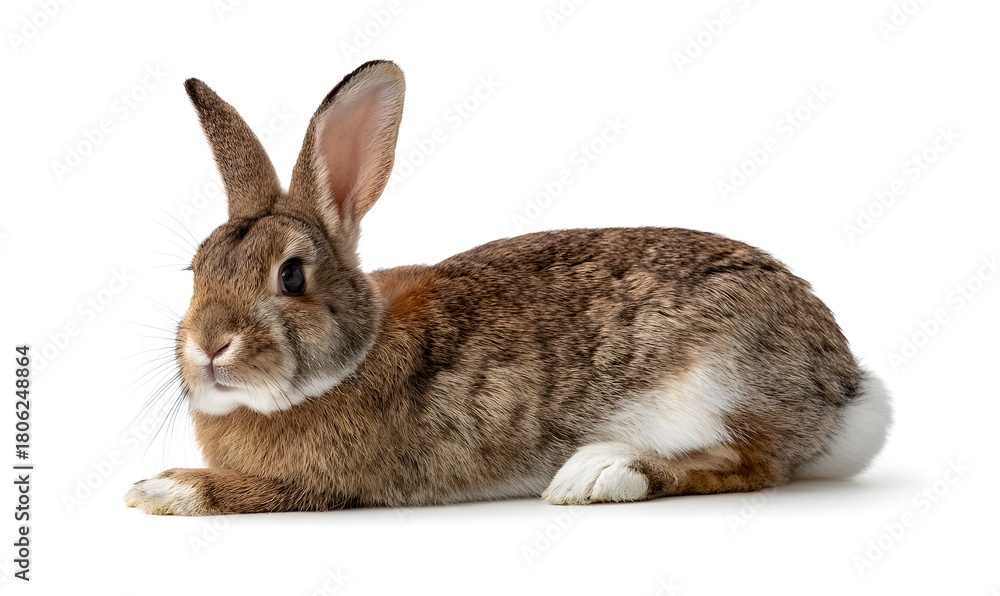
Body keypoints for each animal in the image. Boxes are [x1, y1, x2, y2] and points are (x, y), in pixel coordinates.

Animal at [125, 60, 892, 515]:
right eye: (197, 269)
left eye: (291, 275)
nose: (210, 347)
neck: (353, 358)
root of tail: (844, 387)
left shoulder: (325, 486)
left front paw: (159, 488)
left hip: (721, 376)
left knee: (752, 461)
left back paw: (600, 473)